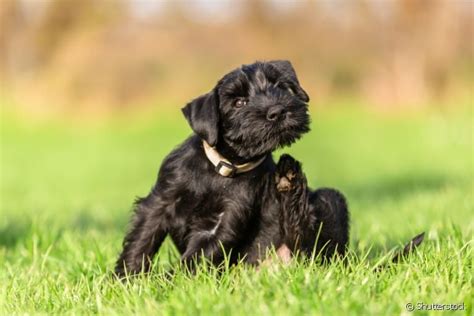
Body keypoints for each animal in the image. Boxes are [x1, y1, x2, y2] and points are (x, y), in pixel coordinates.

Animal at [115, 59, 348, 276]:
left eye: (280, 87)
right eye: (238, 102)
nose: (278, 111)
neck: (222, 167)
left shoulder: (226, 218)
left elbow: (197, 256)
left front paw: (169, 281)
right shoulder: (161, 201)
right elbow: (142, 240)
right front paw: (126, 278)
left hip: (330, 200)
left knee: (309, 246)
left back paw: (290, 178)